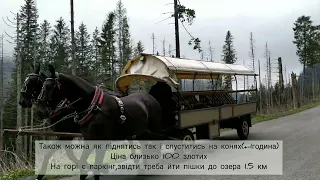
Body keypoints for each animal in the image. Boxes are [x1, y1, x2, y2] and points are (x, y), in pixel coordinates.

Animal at [36, 64, 164, 180]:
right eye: (41, 86)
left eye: (49, 86)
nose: (40, 108)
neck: (93, 105)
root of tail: (151, 98)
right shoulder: (85, 139)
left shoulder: (97, 140)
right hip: (141, 132)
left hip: (153, 130)